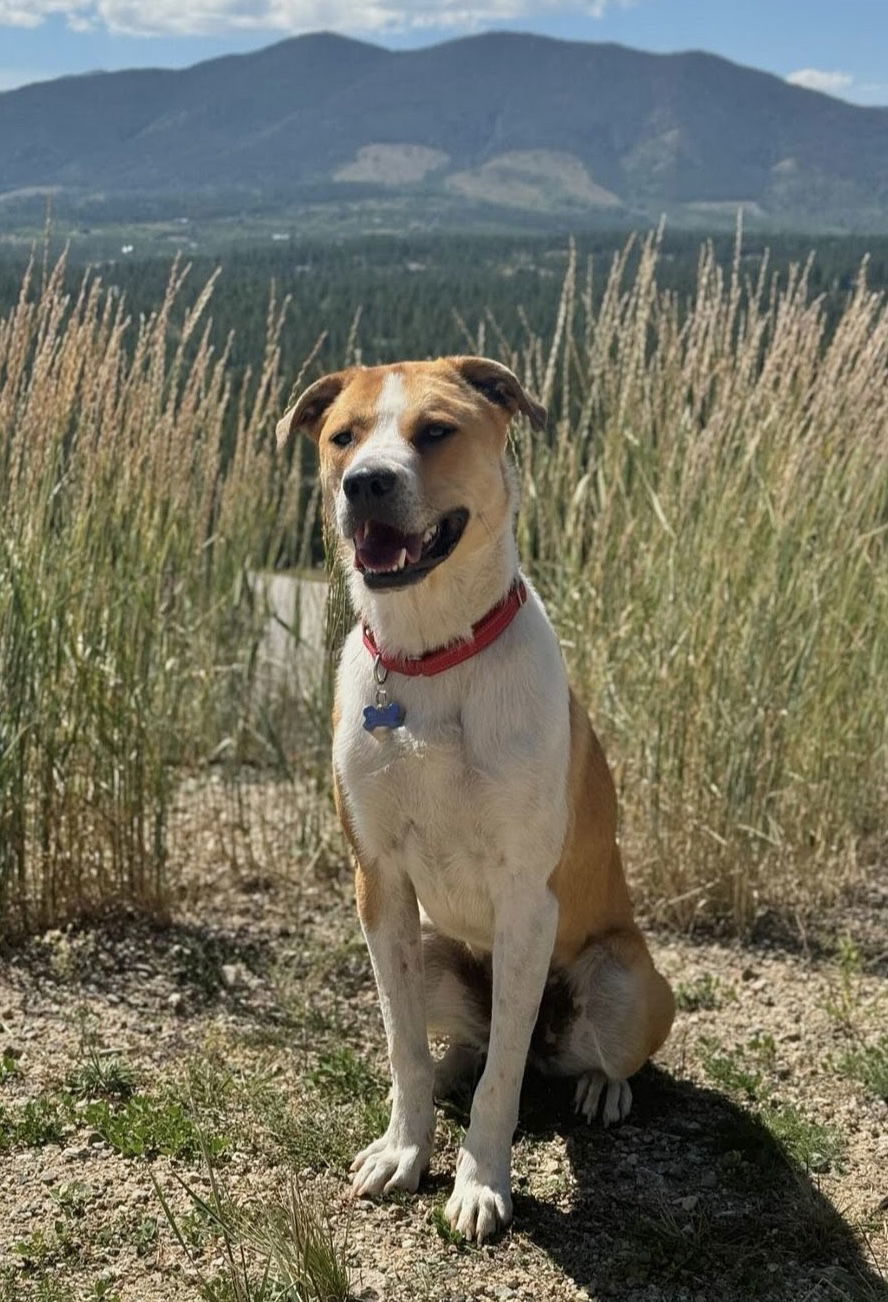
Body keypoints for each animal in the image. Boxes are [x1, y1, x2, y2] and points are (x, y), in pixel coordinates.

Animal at [276, 356, 671, 1239]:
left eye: (436, 431)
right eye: (342, 436)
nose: (366, 482)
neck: (430, 655)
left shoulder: (527, 898)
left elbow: (504, 1087)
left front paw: (481, 1183)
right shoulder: (380, 885)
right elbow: (402, 1050)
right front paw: (404, 1150)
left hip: (630, 983)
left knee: (569, 1053)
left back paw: (602, 1087)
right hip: (428, 950)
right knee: (470, 1046)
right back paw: (458, 1062)